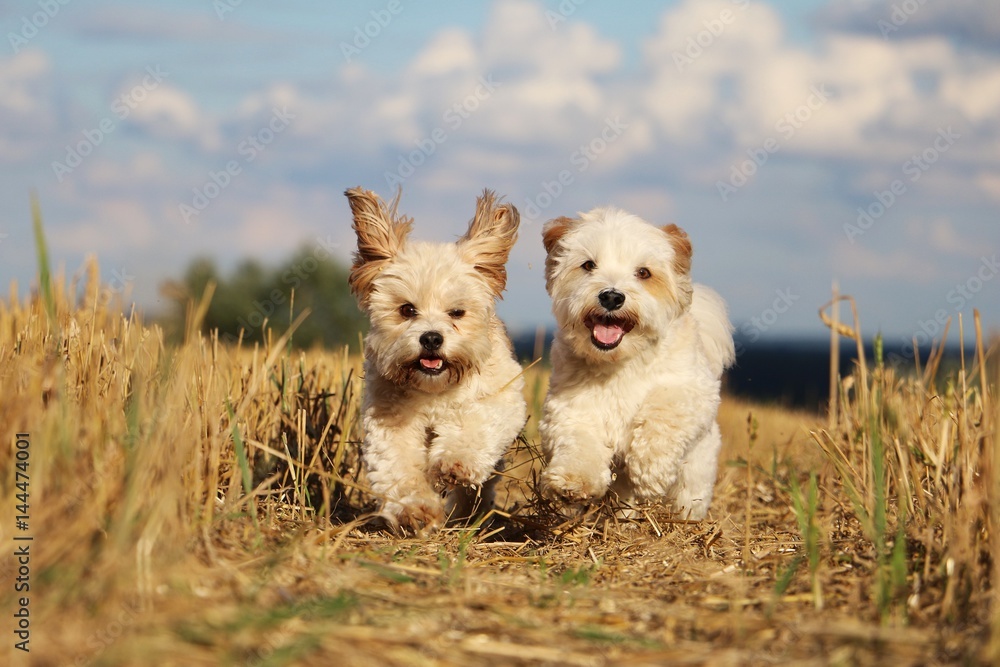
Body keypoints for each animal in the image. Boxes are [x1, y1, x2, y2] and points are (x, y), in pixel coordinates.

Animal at [346, 187, 528, 532]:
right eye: (406, 309)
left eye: (456, 312)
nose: (431, 338)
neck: (434, 390)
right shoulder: (389, 421)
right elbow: (398, 466)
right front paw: (415, 510)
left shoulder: (500, 399)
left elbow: (474, 427)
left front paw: (453, 463)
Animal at [540, 206, 736, 520]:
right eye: (588, 265)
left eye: (644, 273)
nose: (611, 296)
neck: (621, 362)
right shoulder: (570, 407)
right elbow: (578, 440)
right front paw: (573, 480)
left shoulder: (693, 392)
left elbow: (664, 412)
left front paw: (650, 466)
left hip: (695, 476)